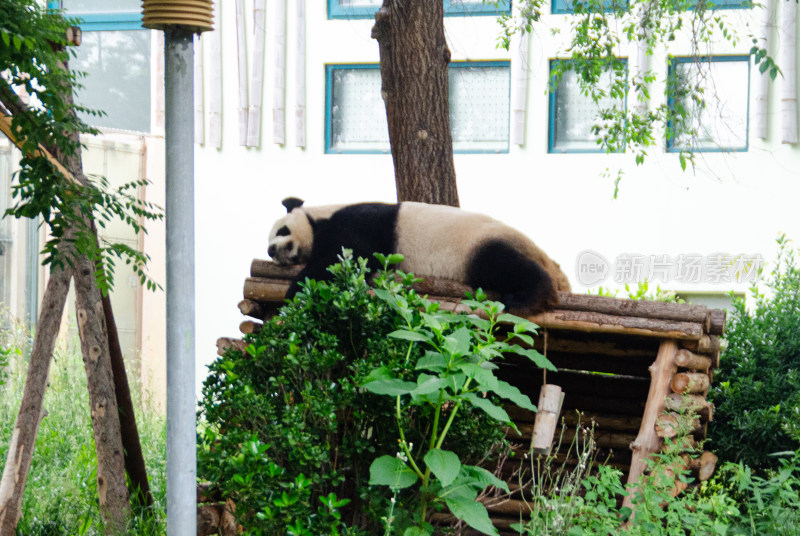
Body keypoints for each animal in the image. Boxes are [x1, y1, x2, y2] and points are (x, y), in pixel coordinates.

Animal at [268, 197, 568, 314]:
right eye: (268, 244)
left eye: (282, 230)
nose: (272, 250)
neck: (321, 217)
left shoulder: (358, 224)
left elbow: (341, 260)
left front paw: (294, 293)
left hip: (477, 246)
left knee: (500, 265)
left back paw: (527, 299)